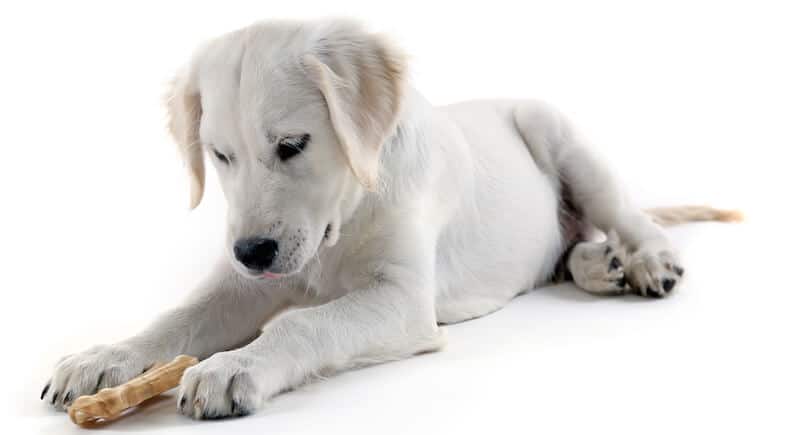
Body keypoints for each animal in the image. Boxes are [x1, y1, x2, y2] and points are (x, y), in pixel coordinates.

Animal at [40, 19, 740, 418]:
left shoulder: (402, 300)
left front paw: (233, 367)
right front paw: (104, 358)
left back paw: (645, 261)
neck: (344, 219)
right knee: (570, 253)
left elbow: (304, 324)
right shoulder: (242, 283)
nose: (252, 253)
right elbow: (176, 319)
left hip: (555, 131)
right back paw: (601, 263)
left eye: (292, 145)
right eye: (219, 156)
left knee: (629, 216)